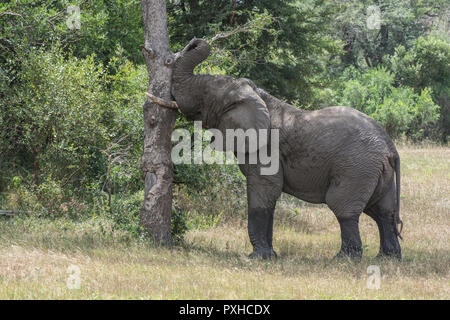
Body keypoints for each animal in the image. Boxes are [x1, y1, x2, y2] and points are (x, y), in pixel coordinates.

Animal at [171, 38, 402, 262]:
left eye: (205, 94)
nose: (194, 42)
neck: (258, 95)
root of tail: (389, 147)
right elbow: (269, 197)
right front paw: (270, 256)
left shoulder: (266, 148)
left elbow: (263, 192)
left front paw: (258, 258)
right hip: (376, 172)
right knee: (383, 211)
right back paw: (387, 259)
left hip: (356, 168)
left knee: (343, 207)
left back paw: (344, 259)